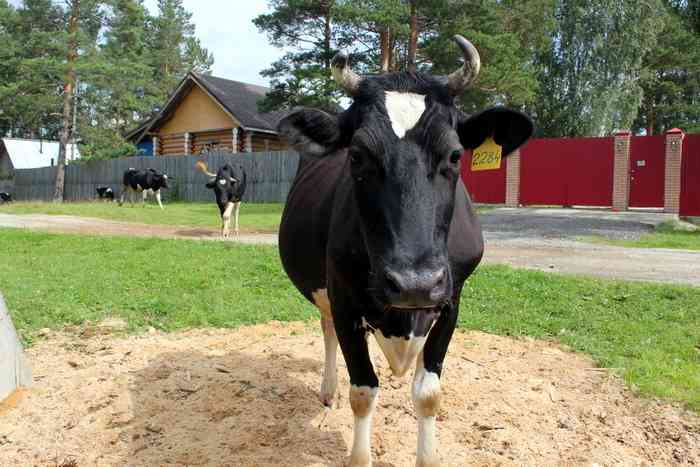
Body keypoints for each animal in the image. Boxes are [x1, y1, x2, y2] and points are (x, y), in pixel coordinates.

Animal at [276, 33, 532, 467]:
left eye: (455, 154)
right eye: (357, 155)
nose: (414, 284)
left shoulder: (451, 299)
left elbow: (428, 394)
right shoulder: (344, 299)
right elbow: (363, 390)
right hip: (325, 290)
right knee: (326, 329)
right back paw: (328, 389)